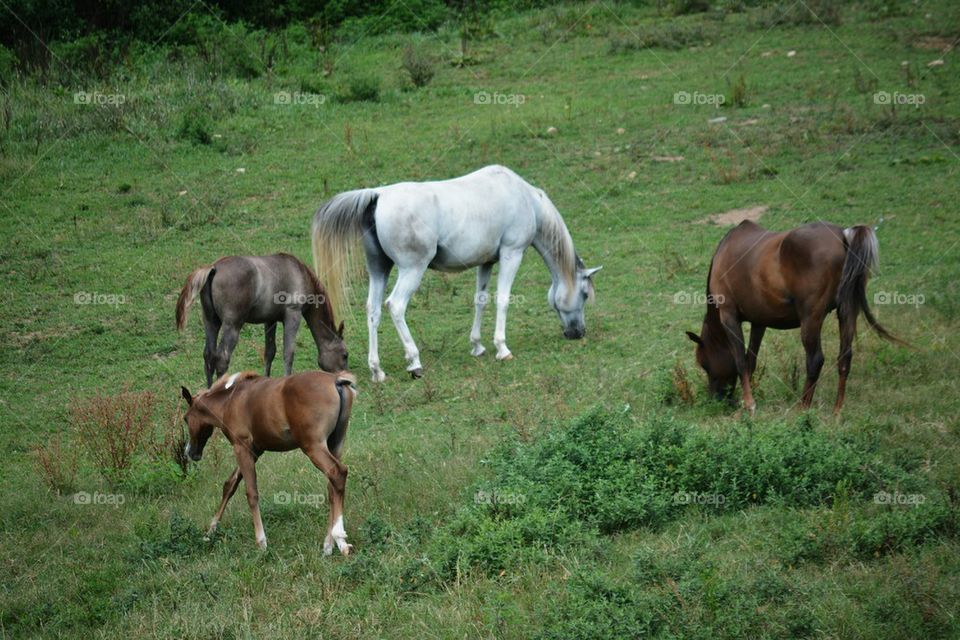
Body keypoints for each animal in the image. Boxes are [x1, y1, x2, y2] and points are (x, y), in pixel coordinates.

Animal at [177, 254, 348, 384]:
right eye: (345, 355)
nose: (346, 378)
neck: (301, 274)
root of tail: (214, 268)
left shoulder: (270, 320)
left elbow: (270, 352)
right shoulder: (293, 315)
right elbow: (288, 353)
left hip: (211, 322)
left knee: (208, 357)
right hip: (232, 325)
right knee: (221, 359)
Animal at [180, 370, 356, 556]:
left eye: (186, 418)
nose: (190, 452)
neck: (229, 401)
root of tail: (336, 380)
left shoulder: (241, 447)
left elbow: (251, 493)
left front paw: (261, 542)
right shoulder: (255, 450)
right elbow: (230, 485)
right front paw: (210, 532)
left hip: (313, 446)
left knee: (338, 473)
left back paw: (339, 538)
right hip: (335, 444)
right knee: (332, 487)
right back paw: (329, 544)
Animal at [314, 166, 600, 384]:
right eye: (585, 294)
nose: (578, 333)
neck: (524, 198)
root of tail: (378, 195)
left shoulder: (486, 262)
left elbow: (480, 300)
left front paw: (477, 345)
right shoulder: (512, 254)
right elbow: (503, 300)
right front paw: (502, 348)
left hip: (379, 270)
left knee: (373, 311)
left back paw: (377, 370)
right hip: (411, 270)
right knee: (395, 306)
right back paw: (414, 362)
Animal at [688, 222, 904, 416]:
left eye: (704, 364)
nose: (716, 399)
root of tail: (843, 235)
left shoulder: (729, 315)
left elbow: (740, 361)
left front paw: (749, 404)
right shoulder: (759, 322)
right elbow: (751, 361)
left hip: (811, 318)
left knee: (815, 360)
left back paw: (803, 407)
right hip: (847, 311)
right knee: (844, 357)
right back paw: (836, 411)